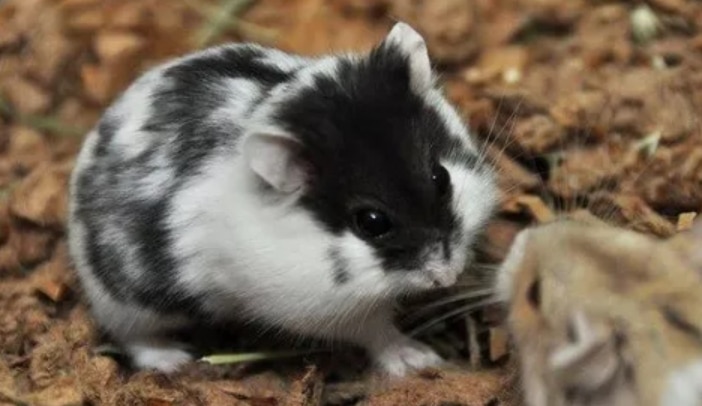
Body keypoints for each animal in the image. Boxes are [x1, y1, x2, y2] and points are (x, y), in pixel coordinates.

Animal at [67, 22, 497, 376]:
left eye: (441, 178)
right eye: (371, 222)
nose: (448, 275)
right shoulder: (326, 310)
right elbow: (377, 331)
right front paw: (421, 360)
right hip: (127, 305)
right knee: (133, 337)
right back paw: (175, 360)